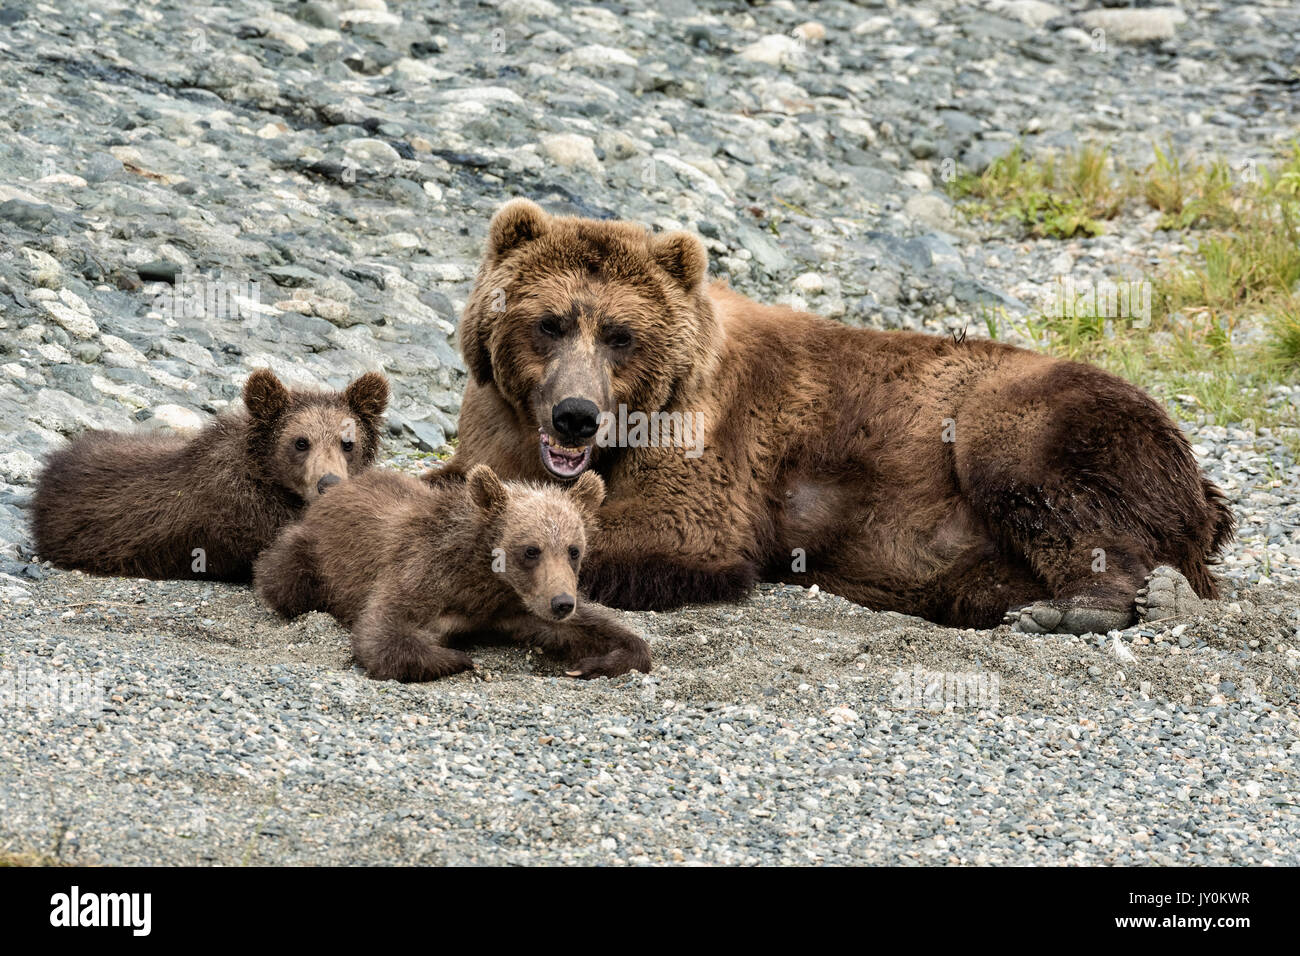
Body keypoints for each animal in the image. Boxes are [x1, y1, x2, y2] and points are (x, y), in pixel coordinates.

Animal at [253, 464, 652, 682]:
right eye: (531, 550)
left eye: (574, 550)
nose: (562, 602)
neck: (480, 582)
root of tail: (334, 488)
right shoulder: (419, 574)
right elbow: (383, 631)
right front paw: (460, 658)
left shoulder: (514, 605)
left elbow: (601, 632)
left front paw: (594, 661)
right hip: (309, 552)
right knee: (283, 578)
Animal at [431, 198, 1235, 634]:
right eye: (550, 322)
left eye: (621, 334)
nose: (576, 415)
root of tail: (1201, 485)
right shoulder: (498, 423)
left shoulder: (708, 435)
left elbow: (674, 531)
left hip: (1040, 410)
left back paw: (1080, 606)